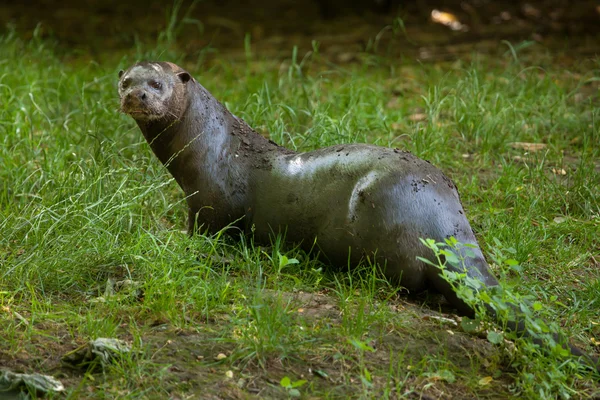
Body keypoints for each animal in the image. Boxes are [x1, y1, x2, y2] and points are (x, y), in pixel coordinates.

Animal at [118, 60, 600, 372]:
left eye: (157, 83)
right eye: (125, 79)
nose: (135, 95)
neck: (215, 149)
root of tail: (446, 219)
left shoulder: (210, 206)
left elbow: (208, 234)